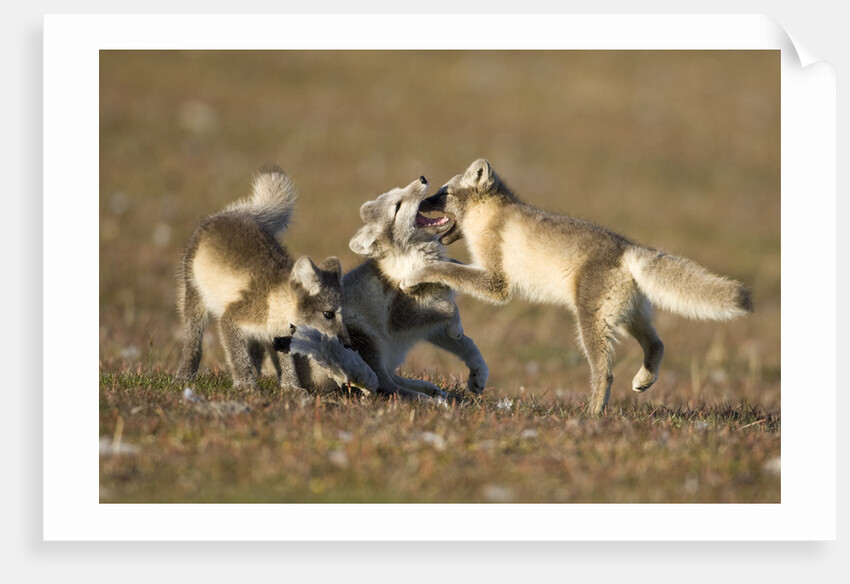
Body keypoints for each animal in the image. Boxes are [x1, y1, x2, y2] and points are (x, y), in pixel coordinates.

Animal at [175, 168, 348, 392]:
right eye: (328, 314)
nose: (347, 344)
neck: (275, 301)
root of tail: (235, 213)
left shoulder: (279, 337)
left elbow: (287, 363)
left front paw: (292, 388)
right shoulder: (231, 319)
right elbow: (239, 357)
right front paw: (246, 385)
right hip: (195, 296)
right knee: (193, 341)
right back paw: (185, 375)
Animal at [344, 175, 489, 400]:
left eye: (399, 190)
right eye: (397, 207)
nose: (422, 178)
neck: (414, 260)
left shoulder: (427, 325)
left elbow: (467, 343)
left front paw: (479, 373)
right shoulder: (402, 317)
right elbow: (450, 309)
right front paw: (456, 327)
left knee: (390, 377)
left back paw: (429, 388)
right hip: (365, 339)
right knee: (384, 385)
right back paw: (427, 400)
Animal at [401, 159, 753, 415]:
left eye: (443, 193)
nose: (421, 203)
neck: (489, 216)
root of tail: (627, 248)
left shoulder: (496, 282)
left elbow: (450, 269)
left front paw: (417, 273)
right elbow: (453, 266)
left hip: (592, 322)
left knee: (606, 372)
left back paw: (592, 415)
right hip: (629, 315)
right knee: (658, 344)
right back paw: (643, 381)